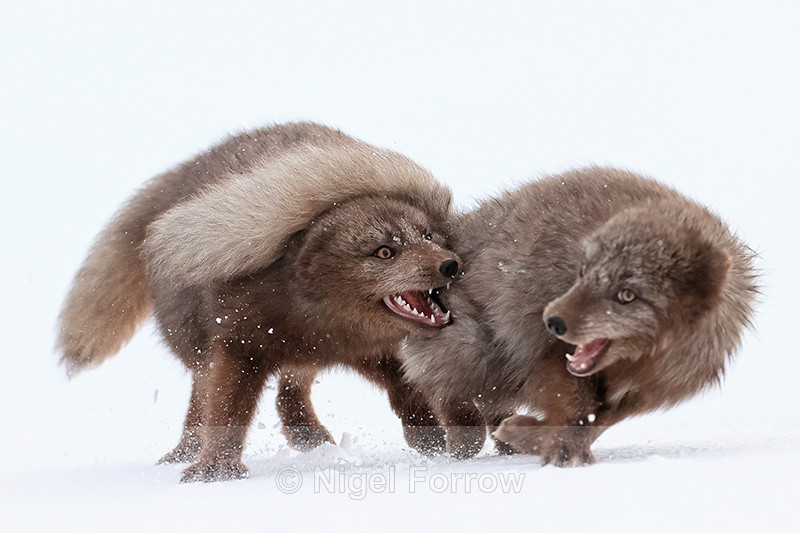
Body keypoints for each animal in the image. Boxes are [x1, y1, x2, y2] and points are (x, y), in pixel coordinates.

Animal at [57, 122, 460, 482]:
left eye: (427, 236)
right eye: (385, 251)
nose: (451, 264)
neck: (319, 319)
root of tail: (186, 170)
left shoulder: (370, 347)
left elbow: (406, 386)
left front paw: (431, 436)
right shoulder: (241, 342)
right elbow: (227, 407)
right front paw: (214, 469)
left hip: (298, 358)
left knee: (290, 388)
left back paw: (308, 436)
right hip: (199, 342)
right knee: (203, 392)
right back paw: (186, 451)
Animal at [401, 166, 758, 465]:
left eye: (627, 295)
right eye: (583, 273)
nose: (552, 321)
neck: (642, 362)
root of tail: (452, 230)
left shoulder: (645, 393)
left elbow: (593, 422)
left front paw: (536, 439)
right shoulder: (551, 357)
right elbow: (577, 410)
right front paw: (552, 447)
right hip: (475, 350)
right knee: (440, 386)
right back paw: (458, 438)